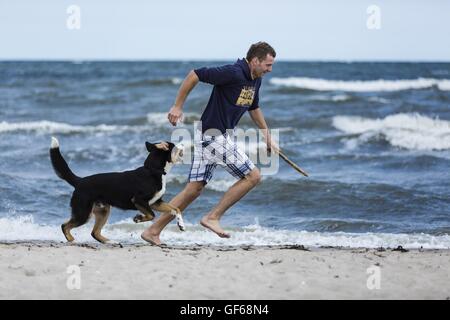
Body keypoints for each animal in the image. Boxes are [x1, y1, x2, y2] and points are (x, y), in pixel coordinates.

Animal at [51, 136, 185, 244]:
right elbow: (152, 215)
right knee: (65, 226)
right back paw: (73, 241)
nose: (183, 144)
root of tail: (80, 181)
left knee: (94, 232)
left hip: (103, 211)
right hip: (83, 213)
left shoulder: (155, 202)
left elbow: (175, 209)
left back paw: (110, 241)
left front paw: (181, 225)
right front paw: (138, 218)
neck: (153, 170)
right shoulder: (139, 200)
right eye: (174, 145)